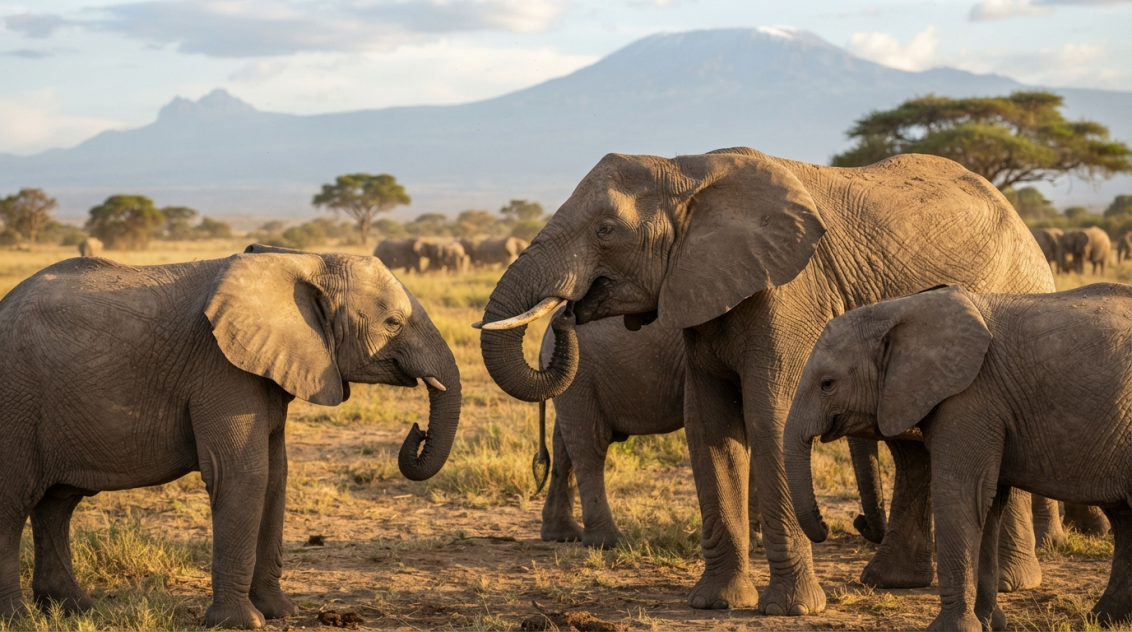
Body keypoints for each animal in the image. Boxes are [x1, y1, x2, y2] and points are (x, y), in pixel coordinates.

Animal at [0, 244, 461, 628]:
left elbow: (275, 478)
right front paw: (242, 623)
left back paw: (76, 610)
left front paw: (280, 613)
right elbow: (244, 476)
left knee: (57, 504)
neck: (305, 259)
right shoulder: (220, 368)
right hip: (15, 402)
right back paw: (19, 618)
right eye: (393, 323)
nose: (417, 429)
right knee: (14, 501)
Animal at [475, 147, 1055, 615]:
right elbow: (709, 426)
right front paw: (715, 604)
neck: (686, 169)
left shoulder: (789, 293)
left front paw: (791, 611)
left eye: (606, 230)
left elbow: (769, 417)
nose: (567, 312)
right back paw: (894, 582)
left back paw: (1007, 585)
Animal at [784, 283, 1132, 630]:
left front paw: (954, 628)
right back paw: (1106, 618)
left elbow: (961, 494)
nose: (831, 525)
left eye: (827, 384)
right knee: (1123, 517)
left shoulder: (971, 397)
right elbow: (988, 505)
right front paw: (989, 623)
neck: (898, 309)